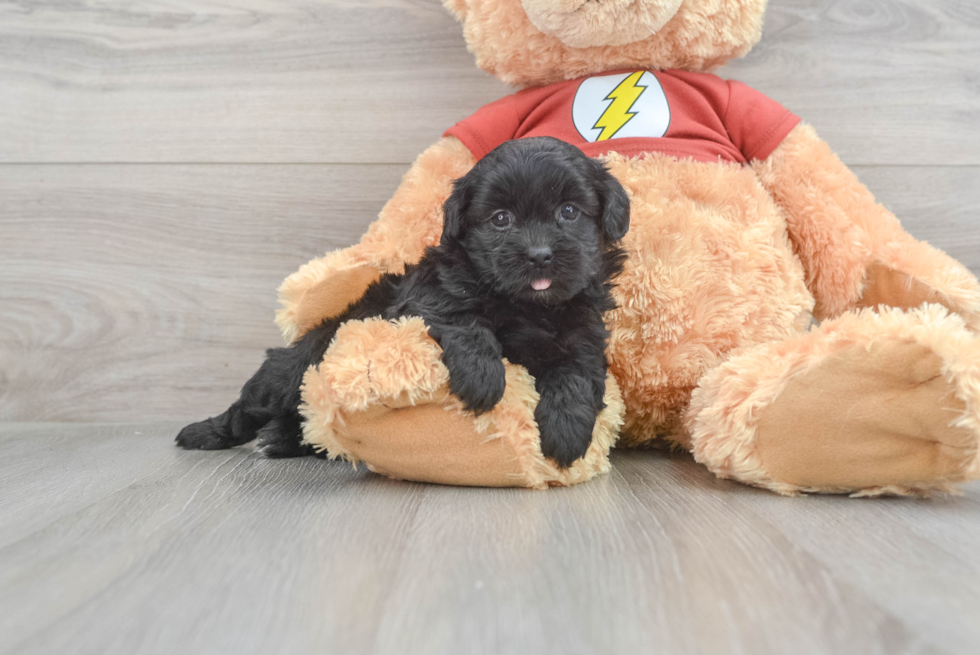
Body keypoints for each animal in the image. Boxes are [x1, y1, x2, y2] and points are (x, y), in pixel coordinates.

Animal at [176, 137, 628, 466]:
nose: (539, 255)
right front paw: (483, 377)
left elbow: (575, 375)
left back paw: (284, 438)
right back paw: (207, 433)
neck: (528, 306)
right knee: (252, 404)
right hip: (289, 372)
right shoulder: (424, 299)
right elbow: (464, 319)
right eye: (501, 219)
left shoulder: (583, 336)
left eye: (568, 211)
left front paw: (567, 432)